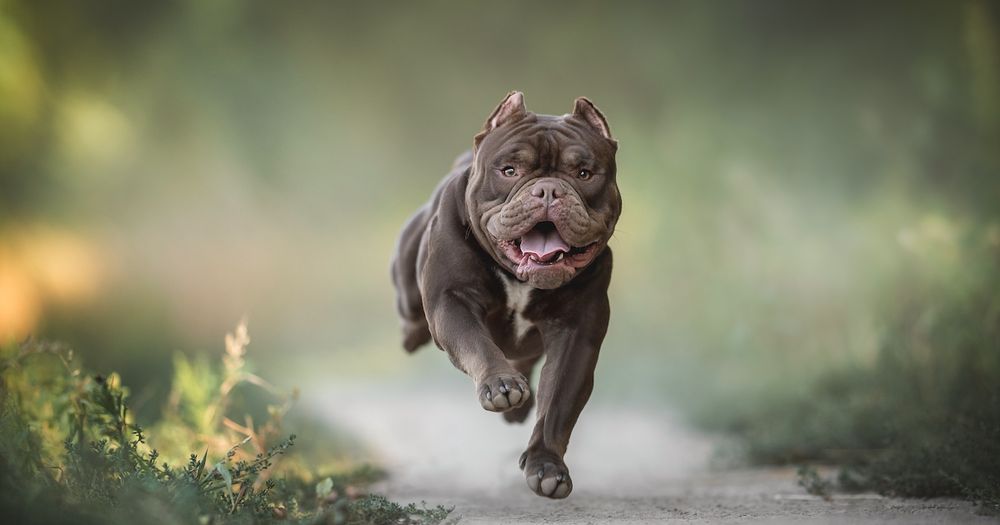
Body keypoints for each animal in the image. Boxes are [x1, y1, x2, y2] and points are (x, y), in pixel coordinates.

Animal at [388, 92, 616, 498]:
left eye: (584, 174)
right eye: (509, 170)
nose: (548, 189)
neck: (520, 278)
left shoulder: (576, 336)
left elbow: (558, 404)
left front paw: (546, 466)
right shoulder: (453, 301)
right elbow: (477, 344)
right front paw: (500, 385)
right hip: (410, 297)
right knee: (413, 321)